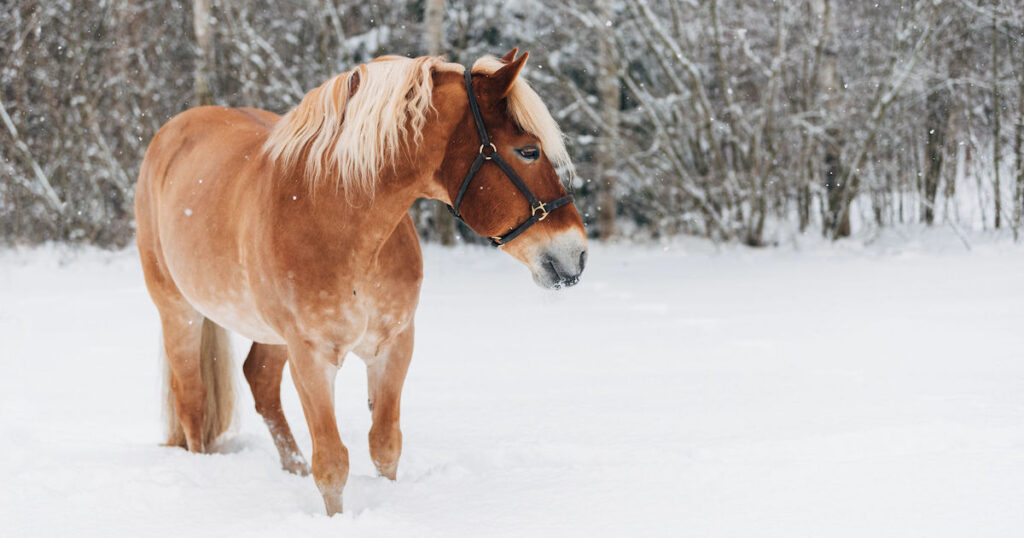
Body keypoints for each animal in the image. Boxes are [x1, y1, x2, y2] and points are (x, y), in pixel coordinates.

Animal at [132, 48, 589, 514]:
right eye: (529, 151)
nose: (578, 253)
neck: (334, 217)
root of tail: (173, 130)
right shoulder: (311, 357)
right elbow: (332, 464)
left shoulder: (393, 346)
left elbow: (385, 444)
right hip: (179, 311)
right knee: (192, 402)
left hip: (269, 334)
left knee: (259, 382)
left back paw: (292, 469)